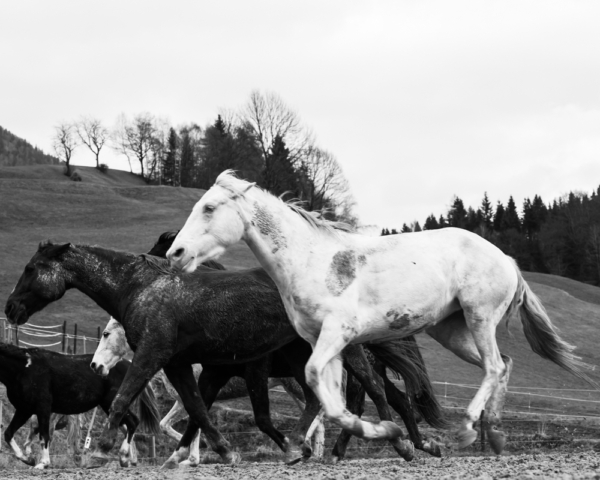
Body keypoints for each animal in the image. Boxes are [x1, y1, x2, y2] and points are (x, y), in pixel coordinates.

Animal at [0, 344, 159, 470]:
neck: (25, 368)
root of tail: (130, 365)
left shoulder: (43, 409)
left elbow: (44, 435)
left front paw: (43, 463)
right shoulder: (24, 410)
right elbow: (8, 434)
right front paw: (28, 459)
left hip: (112, 404)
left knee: (133, 422)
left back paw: (122, 457)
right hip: (110, 407)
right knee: (128, 426)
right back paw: (126, 460)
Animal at [166, 170, 596, 454]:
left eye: (209, 207)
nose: (176, 253)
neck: (311, 261)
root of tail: (506, 258)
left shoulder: (337, 334)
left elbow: (323, 387)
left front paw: (386, 435)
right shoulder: (323, 342)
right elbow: (330, 397)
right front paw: (378, 436)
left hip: (479, 317)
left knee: (493, 366)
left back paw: (468, 430)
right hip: (451, 331)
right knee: (504, 363)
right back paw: (493, 434)